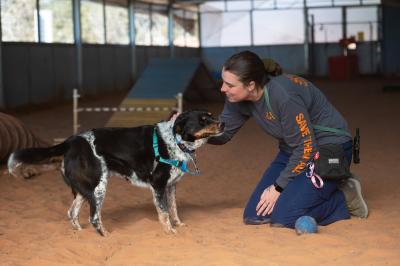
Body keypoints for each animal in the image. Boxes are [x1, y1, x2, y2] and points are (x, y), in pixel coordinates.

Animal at [7, 110, 223, 237]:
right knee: (94, 218)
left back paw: (79, 234)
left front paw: (179, 225)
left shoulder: (171, 186)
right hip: (98, 188)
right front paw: (170, 232)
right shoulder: (159, 186)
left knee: (72, 213)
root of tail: (71, 141)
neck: (176, 140)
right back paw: (106, 238)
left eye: (211, 115)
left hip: (85, 190)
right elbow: (164, 213)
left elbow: (174, 210)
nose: (223, 124)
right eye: (203, 120)